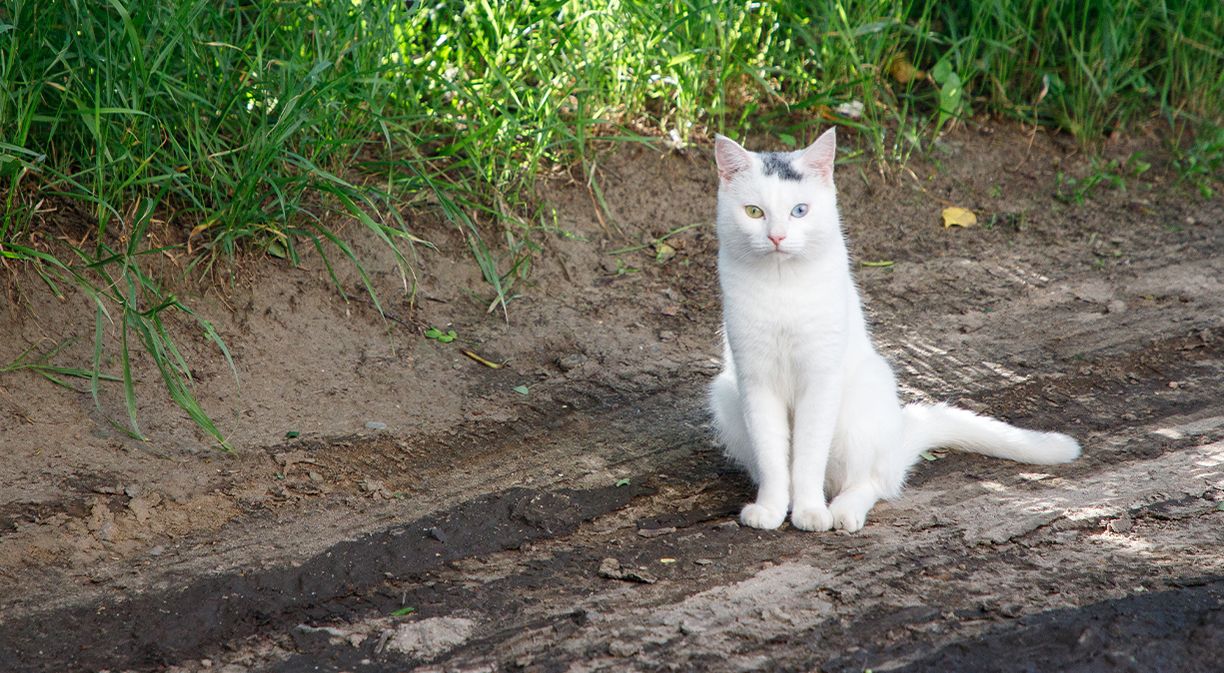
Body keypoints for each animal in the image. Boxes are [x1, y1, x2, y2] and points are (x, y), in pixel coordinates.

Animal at [709, 130, 1082, 533]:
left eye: (800, 211)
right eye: (754, 212)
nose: (777, 237)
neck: (782, 287)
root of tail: (897, 437)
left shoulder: (821, 378)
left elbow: (808, 455)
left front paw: (810, 512)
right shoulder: (755, 380)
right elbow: (774, 457)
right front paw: (771, 509)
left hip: (863, 401)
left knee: (872, 483)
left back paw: (842, 510)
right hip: (726, 395)